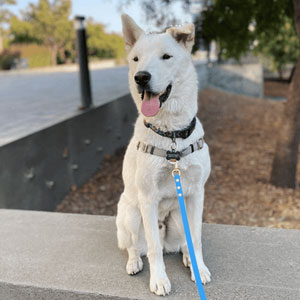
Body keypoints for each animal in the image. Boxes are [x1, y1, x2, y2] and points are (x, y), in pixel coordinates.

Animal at [115, 14, 211, 296]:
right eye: (136, 59)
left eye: (166, 57)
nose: (141, 77)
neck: (172, 137)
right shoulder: (147, 198)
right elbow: (154, 248)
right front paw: (158, 279)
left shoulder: (197, 193)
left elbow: (196, 238)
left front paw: (199, 267)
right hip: (129, 213)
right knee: (136, 246)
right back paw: (134, 261)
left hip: (179, 215)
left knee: (183, 242)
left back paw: (187, 257)